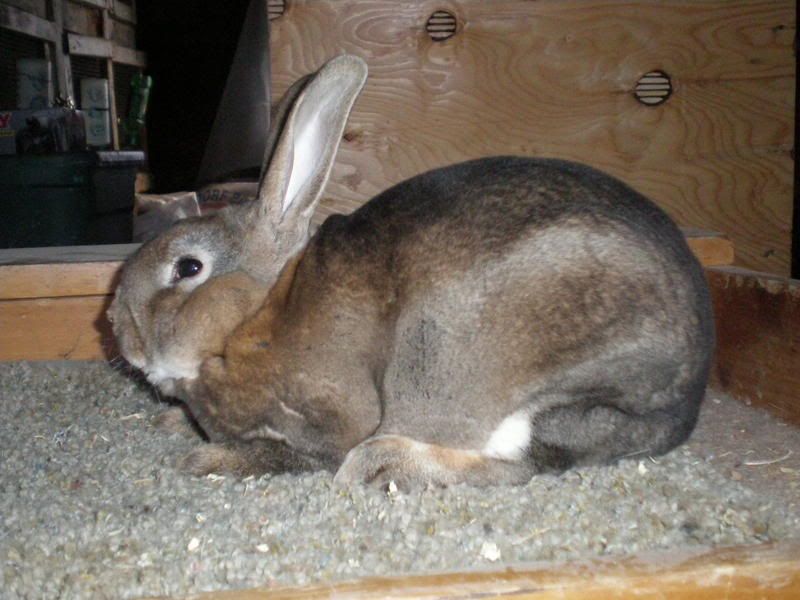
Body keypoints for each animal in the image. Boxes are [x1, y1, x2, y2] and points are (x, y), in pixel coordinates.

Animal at [108, 54, 715, 490]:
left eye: (188, 267)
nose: (115, 326)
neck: (250, 321)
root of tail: (683, 409)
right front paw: (172, 424)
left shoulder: (326, 421)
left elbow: (289, 454)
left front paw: (207, 459)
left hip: (507, 379)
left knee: (522, 464)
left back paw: (385, 465)